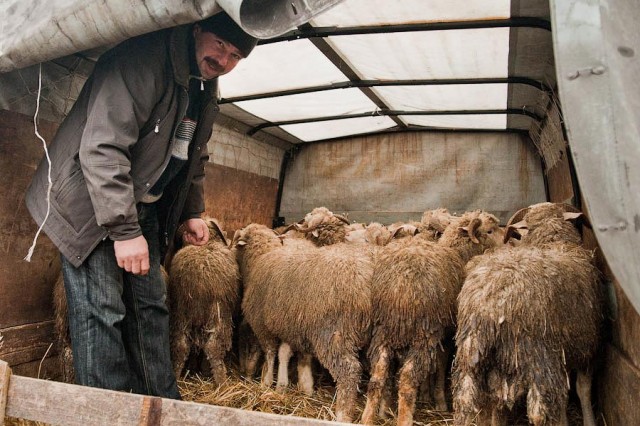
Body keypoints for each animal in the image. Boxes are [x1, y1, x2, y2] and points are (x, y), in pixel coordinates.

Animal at [169, 218, 241, 384]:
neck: (208, 243)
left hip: (180, 315)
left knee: (181, 346)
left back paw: (176, 376)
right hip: (219, 316)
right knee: (213, 348)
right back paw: (221, 383)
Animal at [231, 223, 372, 422]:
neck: (260, 258)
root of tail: (365, 284)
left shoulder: (262, 326)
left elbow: (270, 353)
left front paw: (266, 383)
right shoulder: (292, 327)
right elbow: (291, 354)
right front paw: (300, 387)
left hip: (333, 333)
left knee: (349, 371)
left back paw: (342, 414)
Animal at [360, 210, 504, 426]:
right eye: (489, 230)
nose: (507, 242)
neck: (458, 253)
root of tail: (398, 290)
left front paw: (427, 395)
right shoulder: (445, 335)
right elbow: (441, 366)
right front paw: (440, 401)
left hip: (382, 332)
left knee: (377, 377)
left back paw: (367, 418)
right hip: (423, 335)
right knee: (407, 381)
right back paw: (404, 419)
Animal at [452, 203, 604, 426]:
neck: (552, 242)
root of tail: (489, 306)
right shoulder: (588, 345)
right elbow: (582, 389)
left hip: (473, 358)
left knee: (474, 402)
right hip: (538, 356)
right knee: (540, 411)